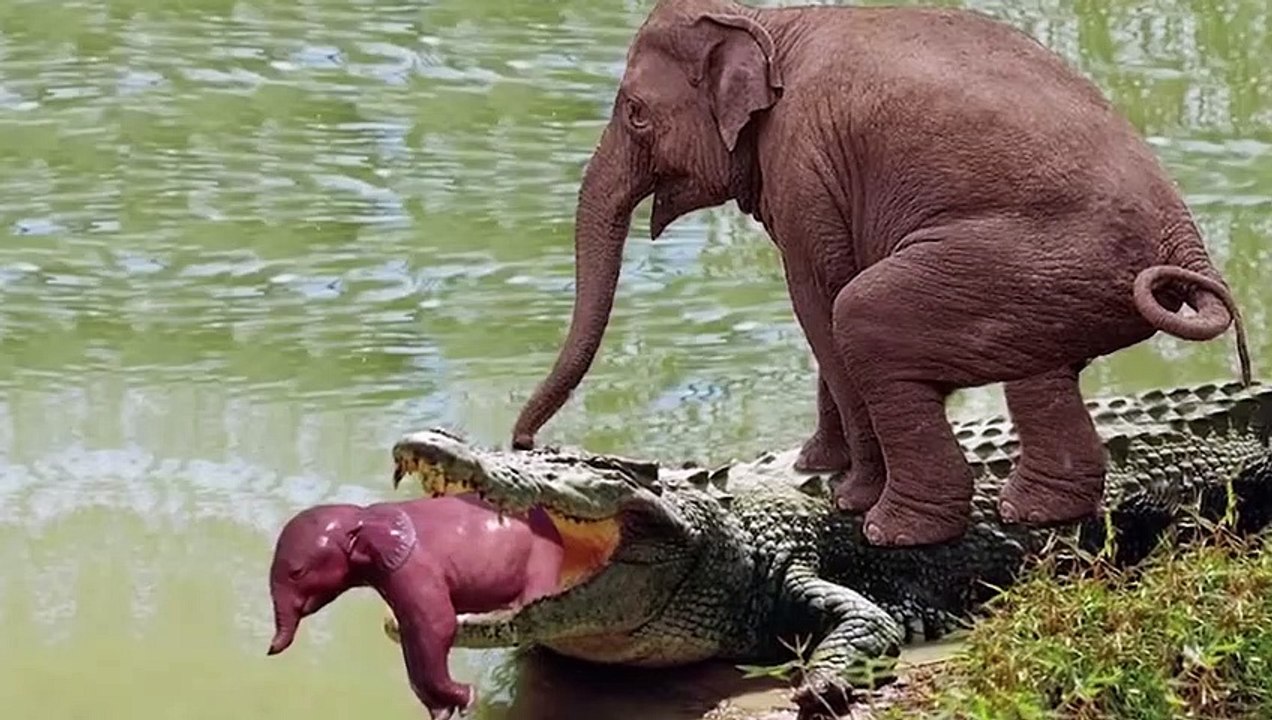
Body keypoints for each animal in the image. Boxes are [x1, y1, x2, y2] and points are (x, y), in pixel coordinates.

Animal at [266, 495, 565, 719]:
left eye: (297, 573)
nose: (268, 650)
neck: (363, 516)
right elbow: (412, 635)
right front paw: (444, 711)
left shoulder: (415, 568)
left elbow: (438, 626)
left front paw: (467, 698)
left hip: (542, 554)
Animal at [509, 0, 1252, 548]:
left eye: (635, 114)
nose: (523, 441)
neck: (767, 18)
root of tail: (1185, 240)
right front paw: (814, 465)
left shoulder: (802, 161)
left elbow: (821, 297)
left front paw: (845, 494)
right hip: (1055, 284)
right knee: (1039, 373)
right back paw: (1032, 511)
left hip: (1026, 259)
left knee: (864, 314)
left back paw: (893, 530)